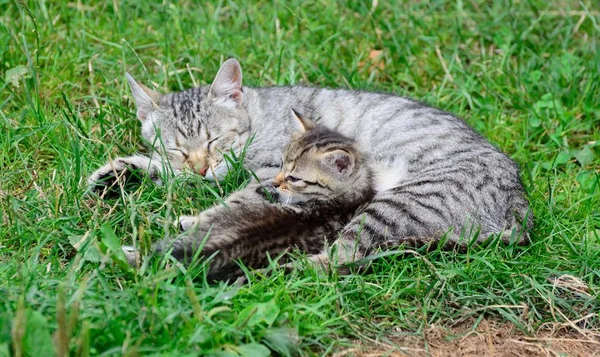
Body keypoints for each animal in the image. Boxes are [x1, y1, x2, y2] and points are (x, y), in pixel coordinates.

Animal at [90, 56, 536, 268]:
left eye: (216, 140)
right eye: (178, 149)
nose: (201, 166)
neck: (260, 113)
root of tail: (520, 211)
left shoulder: (269, 174)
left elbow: (236, 198)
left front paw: (194, 219)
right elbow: (165, 171)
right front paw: (117, 172)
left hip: (402, 201)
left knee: (343, 258)